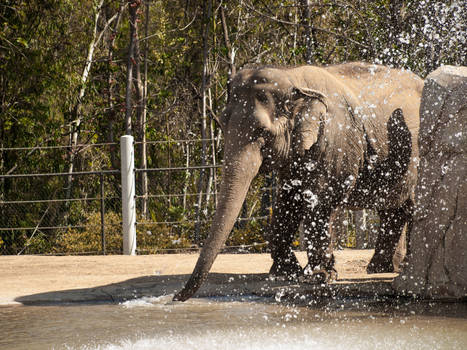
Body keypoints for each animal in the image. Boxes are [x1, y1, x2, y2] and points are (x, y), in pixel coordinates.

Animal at [174, 62, 426, 300]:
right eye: (222, 124)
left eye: (263, 132)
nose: (177, 297)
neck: (293, 77)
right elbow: (288, 201)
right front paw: (285, 273)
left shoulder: (336, 142)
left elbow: (320, 202)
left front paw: (320, 276)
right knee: (394, 209)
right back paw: (379, 268)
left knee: (410, 206)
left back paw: (402, 269)